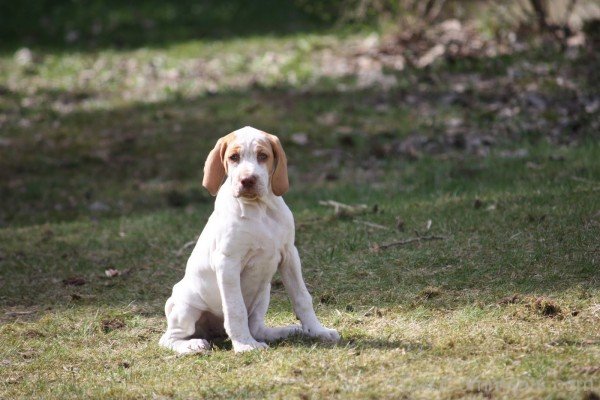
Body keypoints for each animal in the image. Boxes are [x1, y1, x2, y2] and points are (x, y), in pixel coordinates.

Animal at [159, 125, 340, 354]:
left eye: (263, 156)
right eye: (234, 157)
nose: (247, 180)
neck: (259, 209)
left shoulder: (290, 254)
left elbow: (302, 297)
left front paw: (317, 331)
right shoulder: (228, 263)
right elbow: (235, 309)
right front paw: (245, 345)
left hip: (264, 293)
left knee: (258, 328)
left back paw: (288, 331)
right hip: (186, 307)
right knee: (168, 338)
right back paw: (193, 344)